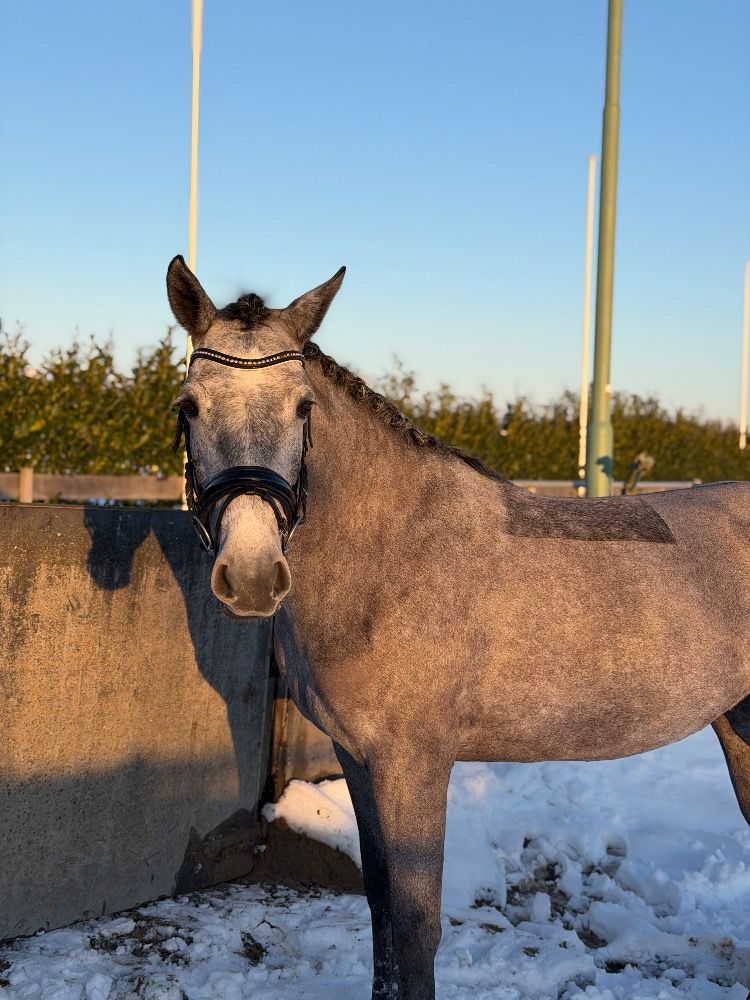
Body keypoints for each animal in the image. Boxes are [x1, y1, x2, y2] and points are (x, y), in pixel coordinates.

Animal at [166, 255, 750, 1000]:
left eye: (302, 407)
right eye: (189, 407)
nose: (250, 573)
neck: (393, 552)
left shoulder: (413, 765)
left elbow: (415, 929)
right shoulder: (359, 761)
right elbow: (383, 912)